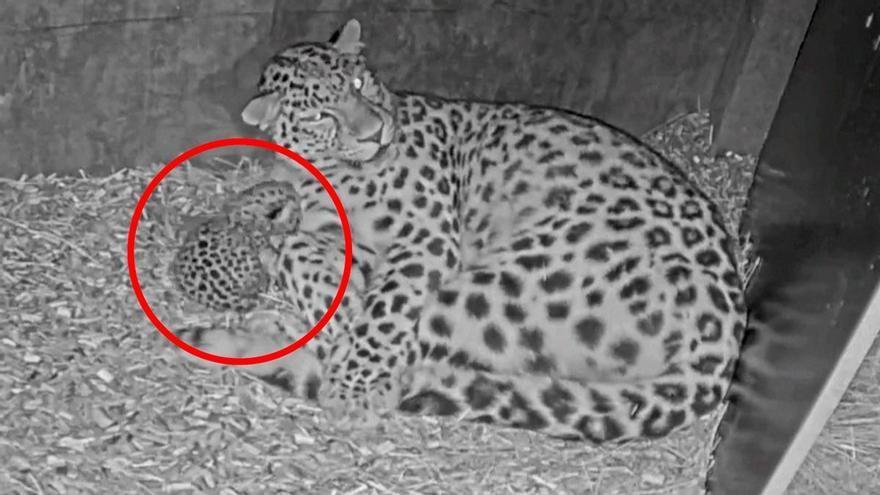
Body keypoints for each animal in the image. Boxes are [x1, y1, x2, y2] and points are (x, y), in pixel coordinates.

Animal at [185, 18, 746, 443]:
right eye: (322, 114)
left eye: (360, 85)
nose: (375, 133)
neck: (326, 172)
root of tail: (725, 335)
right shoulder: (354, 245)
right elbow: (305, 252)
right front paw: (317, 287)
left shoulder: (426, 238)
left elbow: (377, 310)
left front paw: (354, 386)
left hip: (506, 282)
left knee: (410, 346)